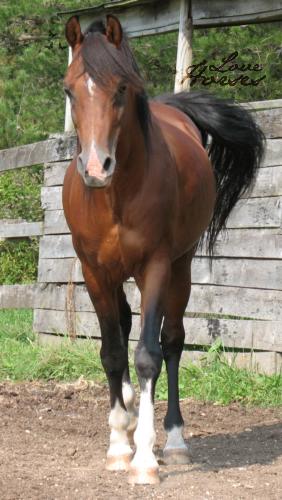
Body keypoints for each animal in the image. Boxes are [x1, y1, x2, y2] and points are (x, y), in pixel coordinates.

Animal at [62, 14, 264, 484]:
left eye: (121, 88)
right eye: (69, 90)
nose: (96, 167)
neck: (115, 196)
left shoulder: (154, 266)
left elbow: (148, 355)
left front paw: (144, 461)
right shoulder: (94, 270)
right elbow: (112, 352)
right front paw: (119, 445)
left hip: (180, 266)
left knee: (171, 341)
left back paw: (173, 441)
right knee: (122, 326)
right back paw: (130, 412)